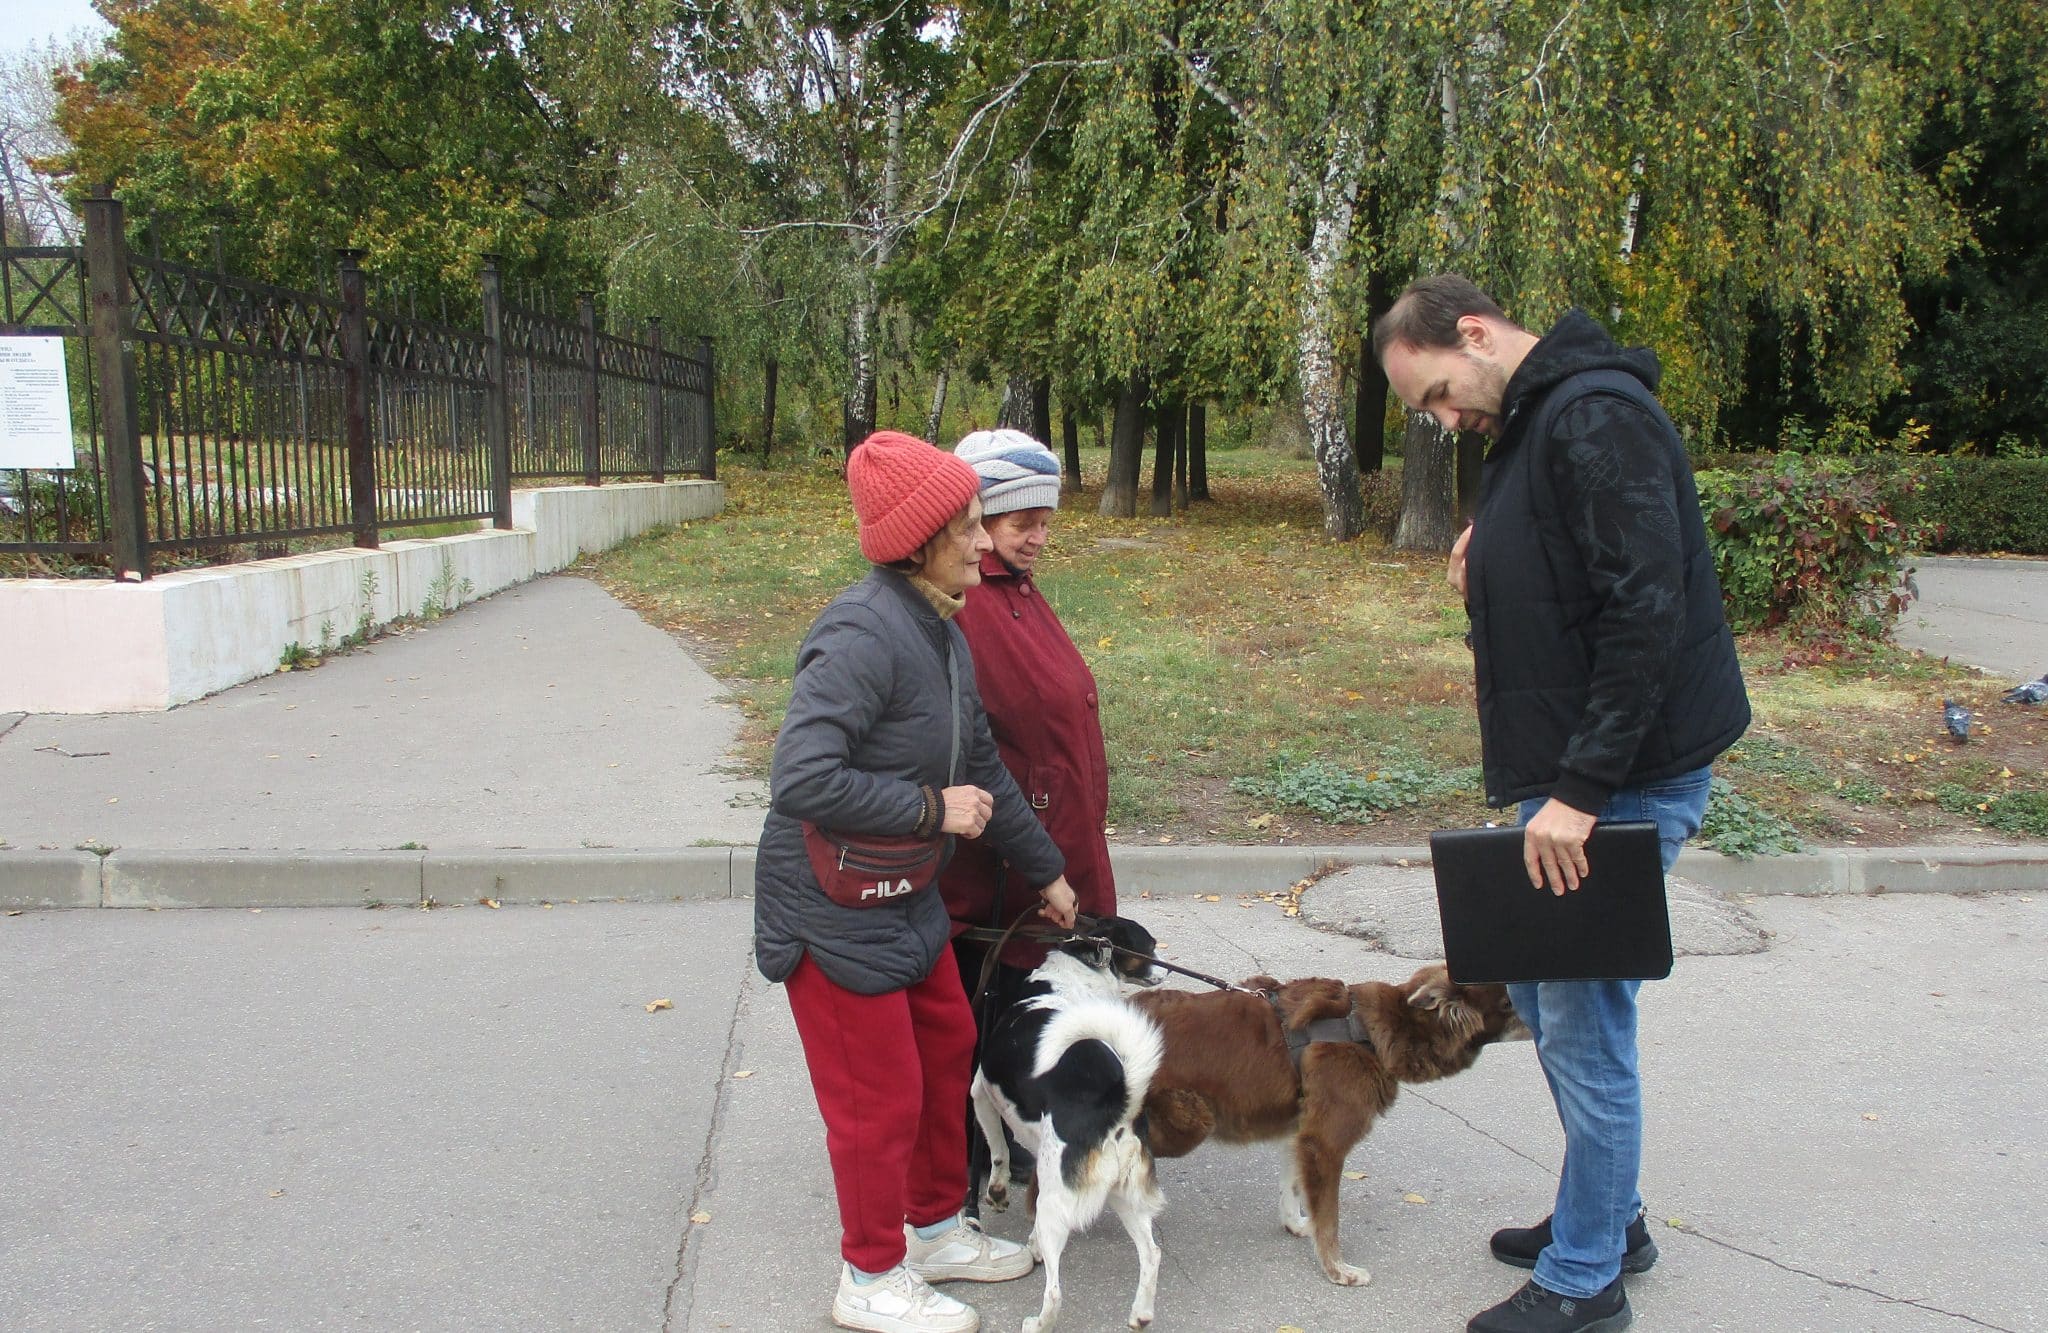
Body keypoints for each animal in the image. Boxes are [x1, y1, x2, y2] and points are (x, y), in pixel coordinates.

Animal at [974, 917, 1171, 1333]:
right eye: (1149, 946)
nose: (1165, 968)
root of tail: (1118, 1099)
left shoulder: (980, 1091)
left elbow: (997, 1149)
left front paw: (997, 1193)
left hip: (1059, 1204)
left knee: (1054, 1291)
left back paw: (1037, 1322)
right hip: (1124, 1195)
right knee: (1152, 1253)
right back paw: (1140, 1314)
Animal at [1138, 966, 1523, 1285]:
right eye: (1507, 1002)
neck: (1371, 1031)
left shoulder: (1299, 1133)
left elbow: (1292, 1188)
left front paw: (1296, 1224)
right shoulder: (1326, 1144)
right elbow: (1329, 1219)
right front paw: (1337, 1269)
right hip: (1191, 1119)